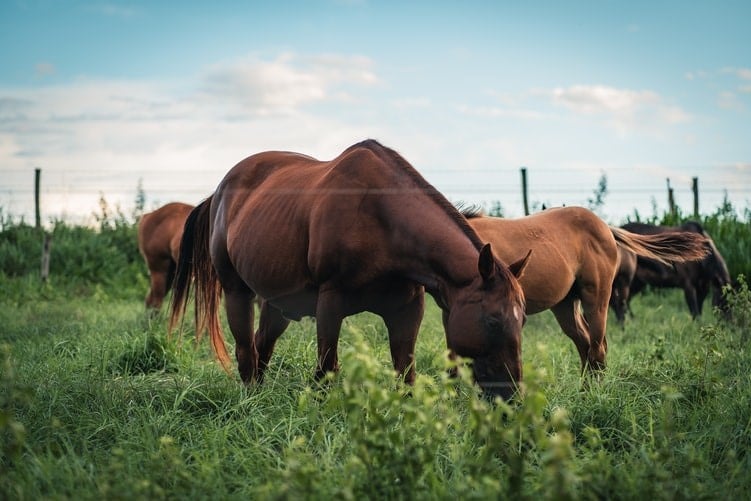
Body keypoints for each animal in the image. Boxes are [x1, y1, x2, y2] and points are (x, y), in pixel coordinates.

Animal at [173, 140, 532, 398]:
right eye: (492, 320)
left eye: (523, 320)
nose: (511, 395)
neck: (382, 220)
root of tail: (218, 193)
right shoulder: (330, 302)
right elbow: (326, 370)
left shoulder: (407, 309)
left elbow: (405, 372)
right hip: (237, 292)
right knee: (246, 351)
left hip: (279, 303)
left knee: (263, 345)